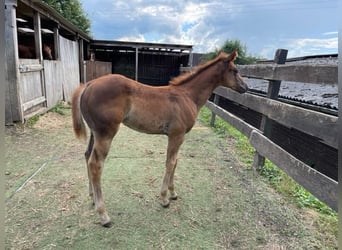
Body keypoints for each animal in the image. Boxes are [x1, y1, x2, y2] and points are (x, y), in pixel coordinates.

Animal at [73, 50, 248, 227]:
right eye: (235, 70)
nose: (245, 88)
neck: (187, 95)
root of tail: (89, 84)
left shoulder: (179, 137)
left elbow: (175, 162)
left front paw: (173, 193)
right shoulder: (176, 135)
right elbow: (170, 163)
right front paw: (164, 198)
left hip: (95, 133)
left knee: (87, 155)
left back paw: (92, 197)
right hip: (106, 134)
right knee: (95, 164)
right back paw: (104, 215)